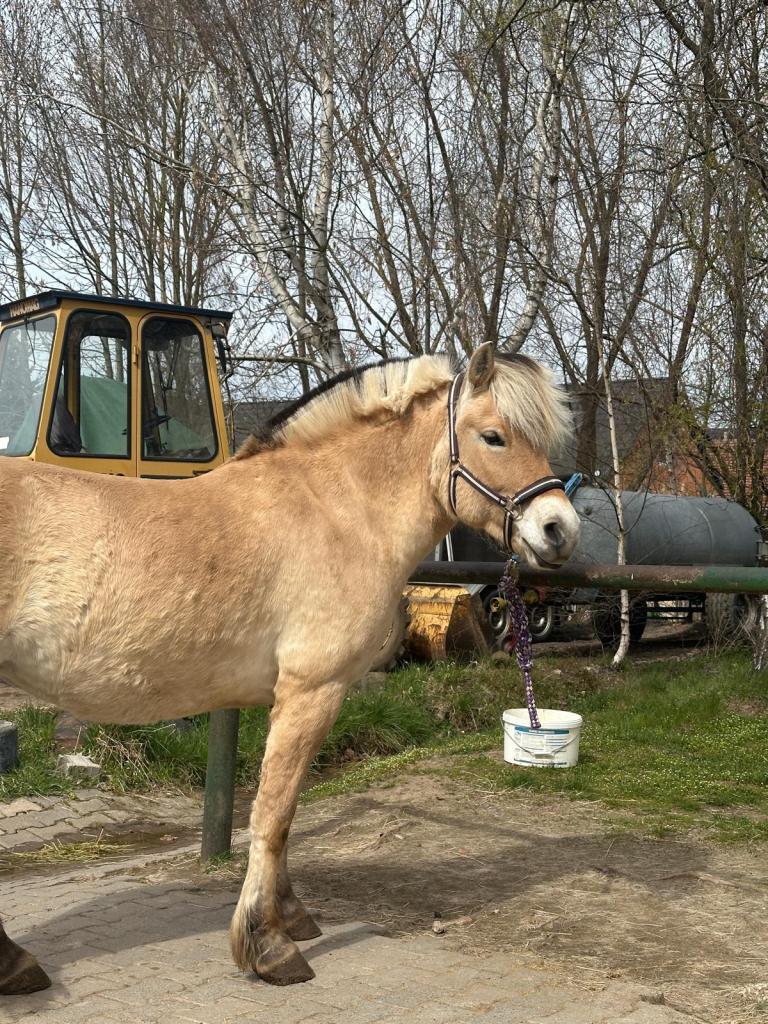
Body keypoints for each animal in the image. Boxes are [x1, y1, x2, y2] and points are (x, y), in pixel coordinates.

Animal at [0, 342, 580, 992]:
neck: (336, 510)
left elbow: (288, 810)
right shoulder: (312, 691)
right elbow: (273, 815)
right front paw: (267, 946)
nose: (560, 529)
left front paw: (290, 917)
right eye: (493, 437)